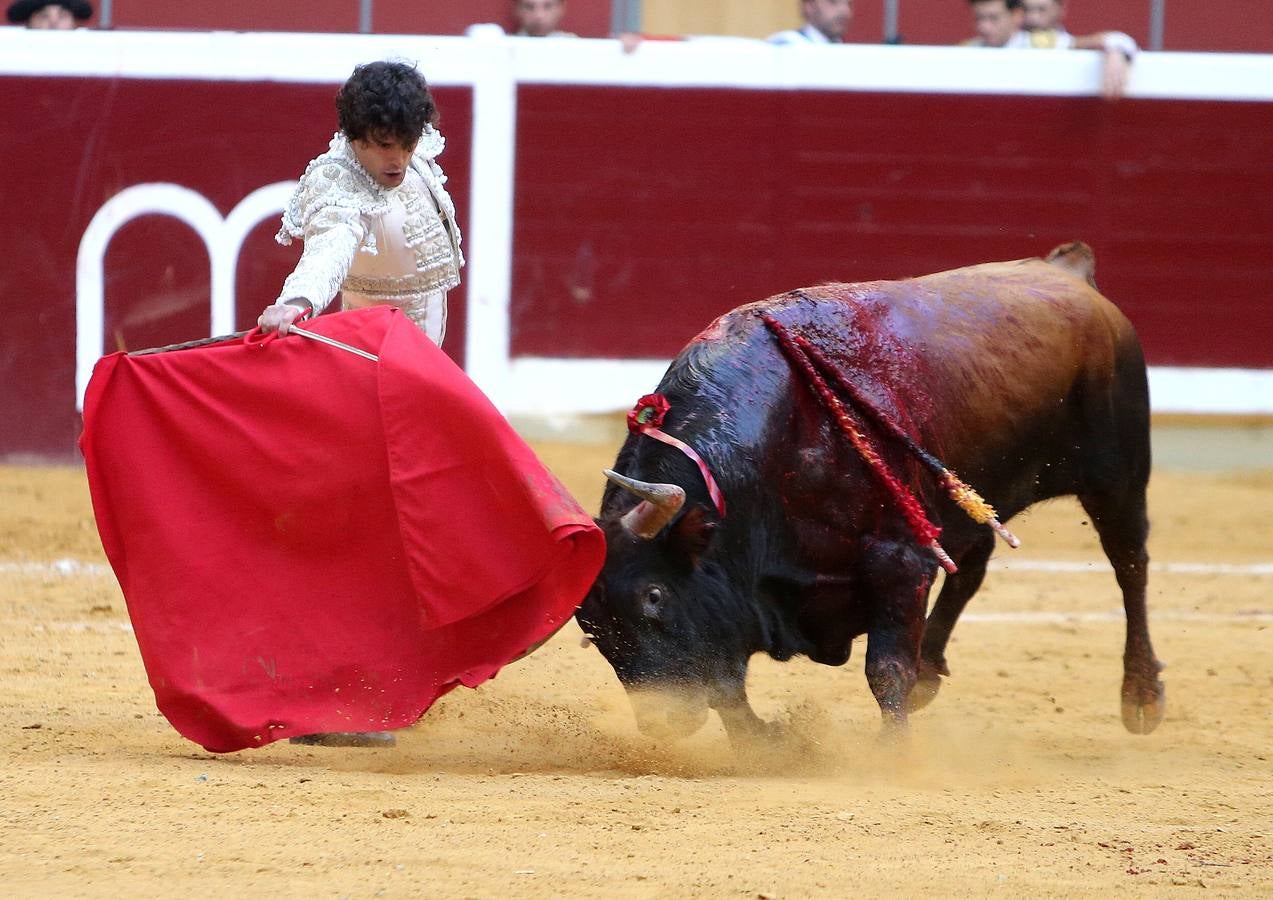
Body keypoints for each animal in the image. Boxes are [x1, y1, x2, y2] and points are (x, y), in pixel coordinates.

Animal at [577, 244, 1166, 748]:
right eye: (590, 625)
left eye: (654, 595)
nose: (663, 722)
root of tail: (1068, 271)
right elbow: (726, 686)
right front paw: (763, 744)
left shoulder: (897, 561)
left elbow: (885, 670)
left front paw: (893, 754)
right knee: (972, 567)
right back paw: (931, 671)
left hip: (1118, 475)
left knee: (1130, 564)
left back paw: (1141, 696)